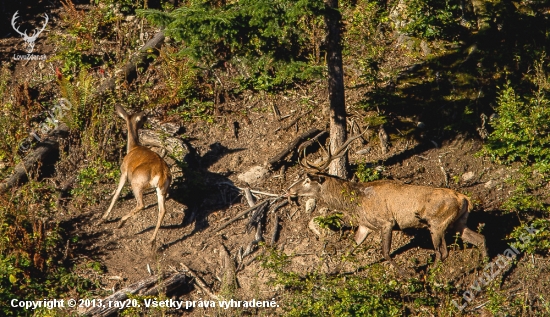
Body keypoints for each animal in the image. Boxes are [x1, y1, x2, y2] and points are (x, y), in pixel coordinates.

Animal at [101, 105, 174, 246]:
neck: (133, 148)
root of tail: (162, 173)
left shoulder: (124, 172)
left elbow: (117, 194)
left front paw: (103, 218)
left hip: (136, 182)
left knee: (141, 204)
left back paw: (121, 222)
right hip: (162, 189)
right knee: (162, 210)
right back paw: (152, 241)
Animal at [288, 131, 488, 274]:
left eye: (307, 180)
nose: (289, 190)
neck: (356, 202)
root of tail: (465, 199)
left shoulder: (387, 222)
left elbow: (385, 252)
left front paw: (405, 273)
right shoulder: (365, 226)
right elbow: (349, 251)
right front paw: (333, 274)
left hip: (437, 223)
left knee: (443, 252)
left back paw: (431, 273)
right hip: (457, 222)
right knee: (480, 239)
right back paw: (486, 267)